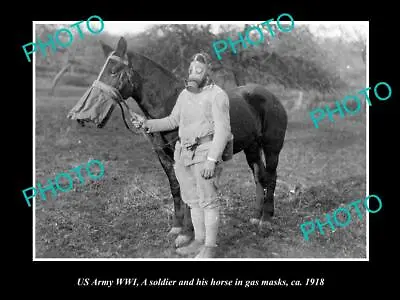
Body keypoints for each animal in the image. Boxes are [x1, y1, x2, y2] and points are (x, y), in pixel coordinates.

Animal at [68, 37, 288, 248]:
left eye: (113, 71)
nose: (81, 116)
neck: (171, 104)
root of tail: (271, 97)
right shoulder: (163, 157)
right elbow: (176, 189)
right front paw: (176, 227)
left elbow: (188, 193)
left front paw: (186, 233)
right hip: (252, 148)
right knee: (259, 176)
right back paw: (256, 216)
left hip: (272, 148)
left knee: (271, 177)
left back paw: (266, 220)